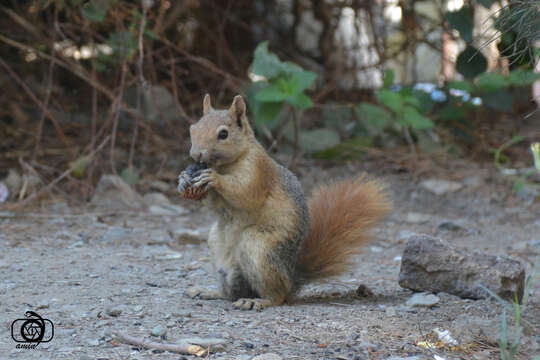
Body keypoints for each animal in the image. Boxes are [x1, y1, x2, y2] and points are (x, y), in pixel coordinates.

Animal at [181, 93, 392, 310]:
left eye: (223, 134)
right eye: (193, 128)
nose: (195, 154)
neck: (227, 165)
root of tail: (291, 279)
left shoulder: (258, 171)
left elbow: (246, 193)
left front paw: (214, 178)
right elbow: (214, 203)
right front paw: (184, 179)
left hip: (258, 248)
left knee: (277, 295)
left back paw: (256, 300)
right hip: (217, 245)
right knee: (231, 293)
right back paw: (208, 292)